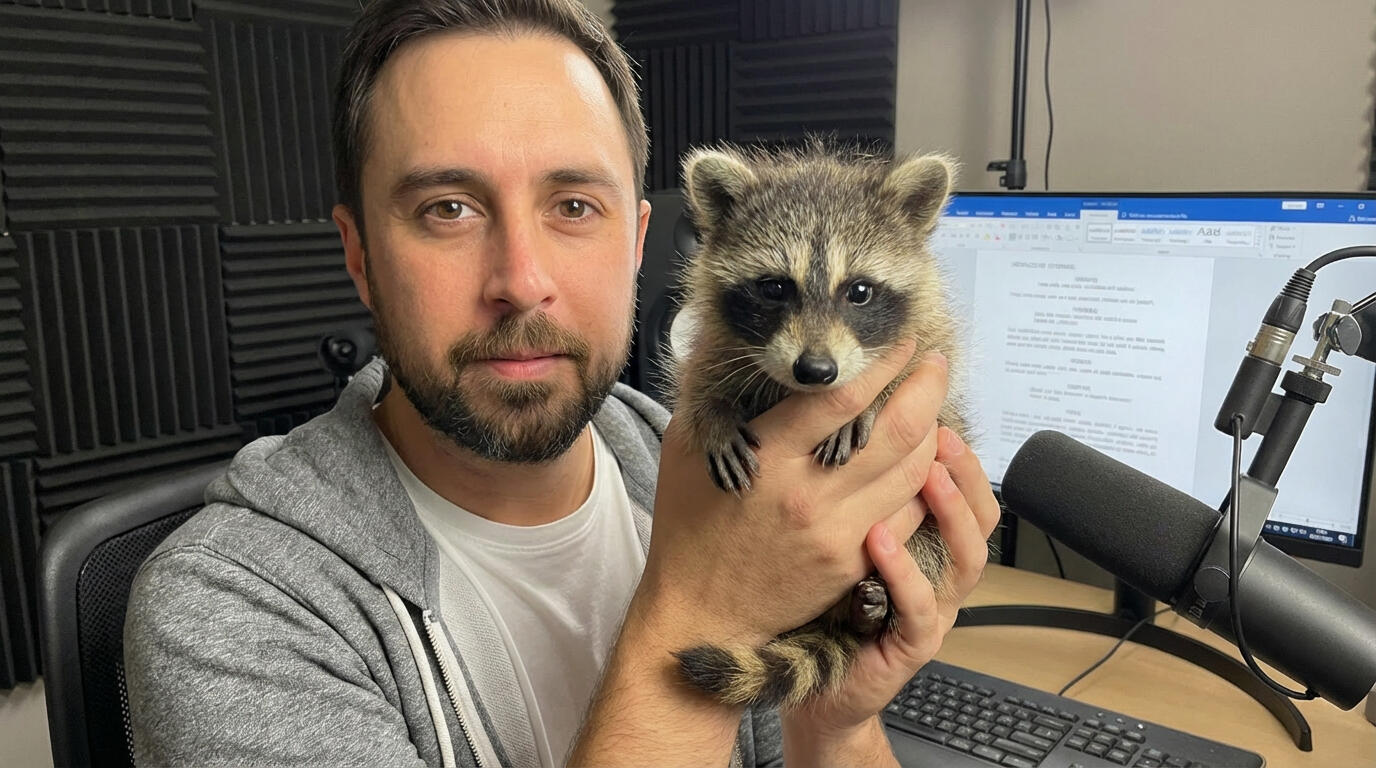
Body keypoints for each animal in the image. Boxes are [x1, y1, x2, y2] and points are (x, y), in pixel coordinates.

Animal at [666, 139, 972, 710]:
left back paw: (870, 612)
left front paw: (871, 401)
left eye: (859, 291)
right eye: (774, 288)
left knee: (926, 546)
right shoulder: (719, 341)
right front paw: (714, 413)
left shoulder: (929, 341)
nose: (816, 370)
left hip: (926, 536)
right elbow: (699, 378)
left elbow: (920, 375)